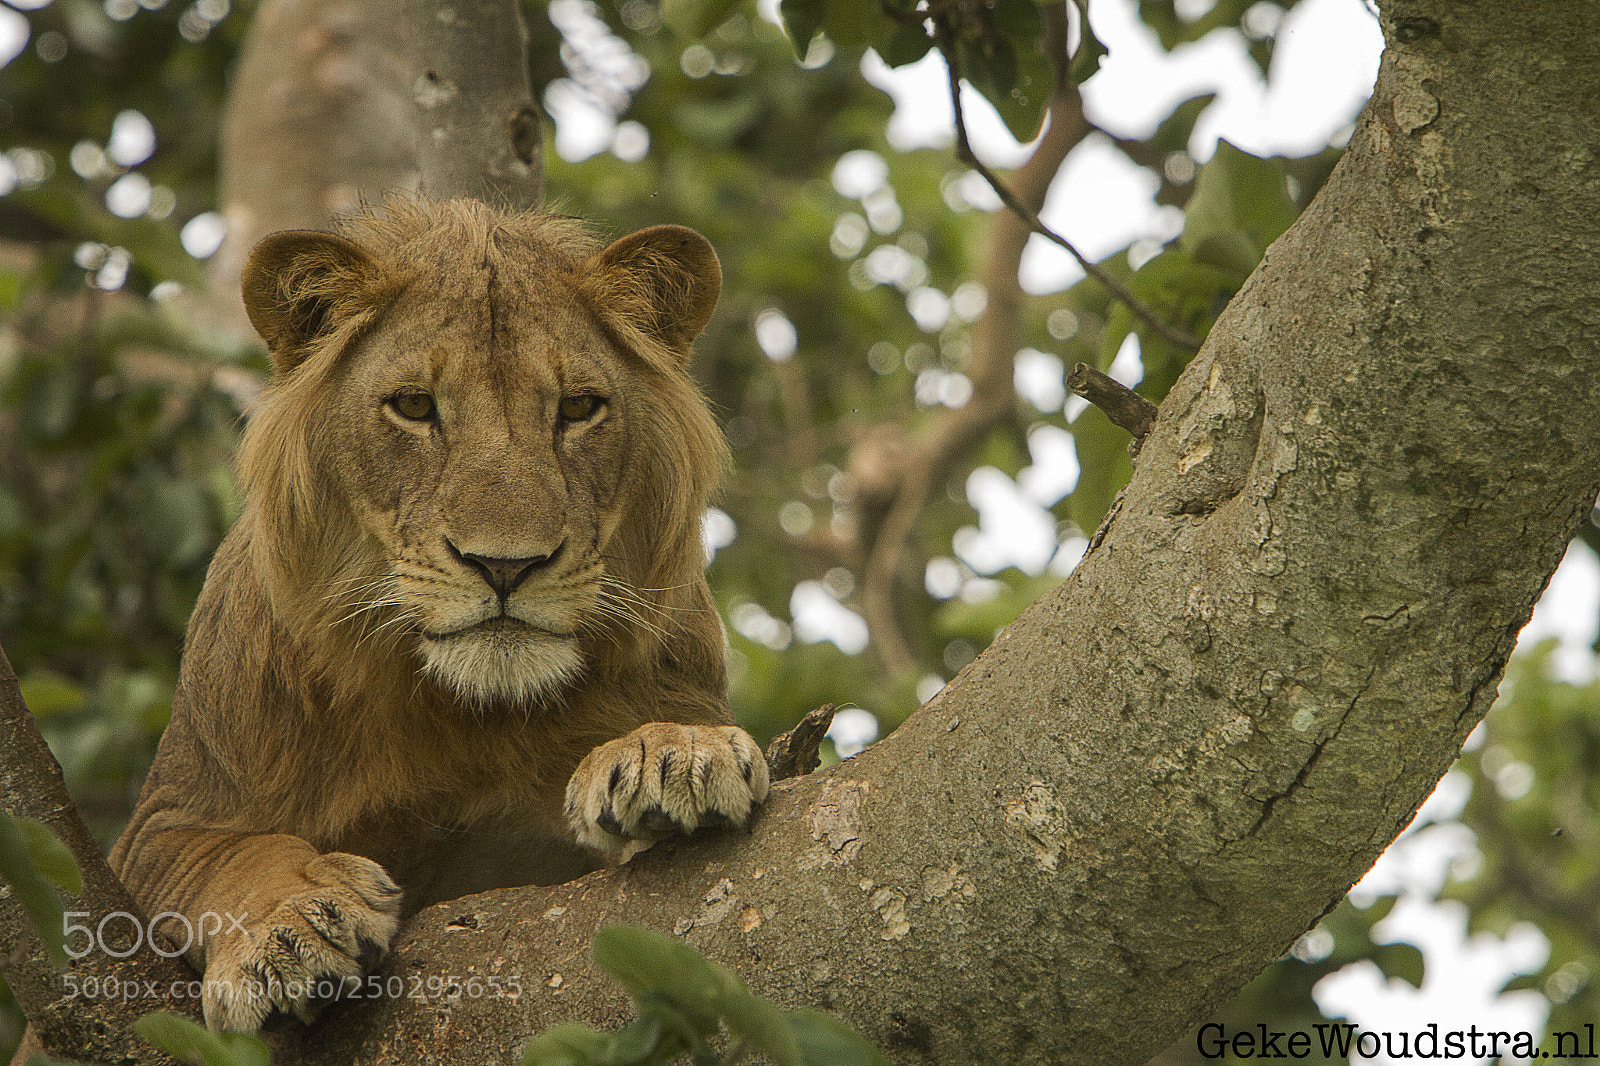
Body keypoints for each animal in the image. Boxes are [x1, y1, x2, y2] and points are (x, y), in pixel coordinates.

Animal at [106, 198, 770, 1033]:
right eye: (416, 407)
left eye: (579, 408)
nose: (506, 565)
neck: (465, 717)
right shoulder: (159, 825)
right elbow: (225, 857)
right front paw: (287, 928)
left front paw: (675, 753)